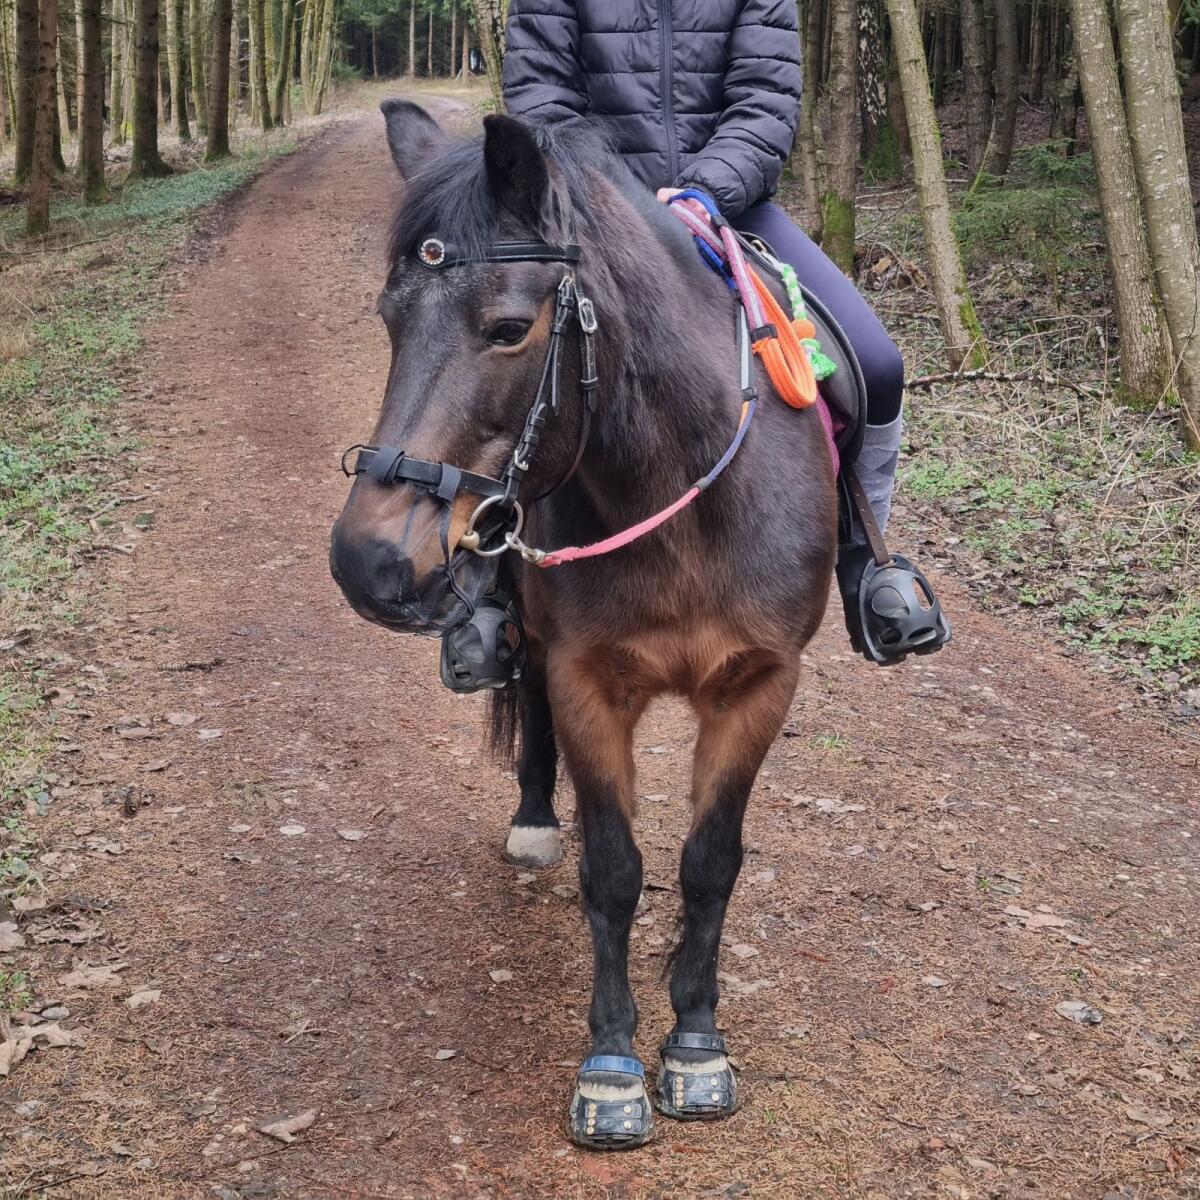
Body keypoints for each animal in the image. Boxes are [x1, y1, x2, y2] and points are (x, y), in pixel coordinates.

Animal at [329, 100, 837, 1150]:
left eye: (509, 328)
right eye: (390, 321)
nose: (366, 561)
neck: (685, 503)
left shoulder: (760, 686)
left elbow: (709, 864)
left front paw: (696, 1046)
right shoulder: (587, 678)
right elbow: (613, 871)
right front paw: (611, 1066)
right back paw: (532, 818)